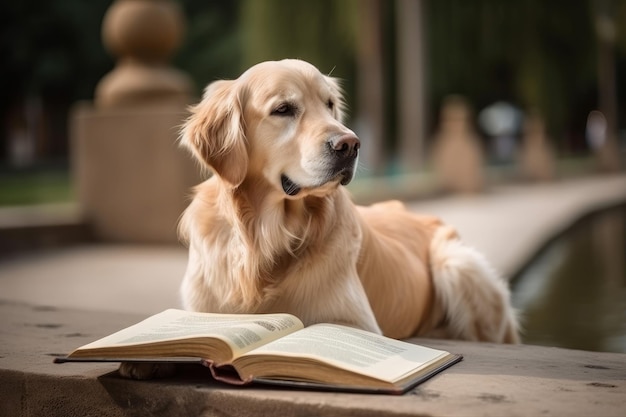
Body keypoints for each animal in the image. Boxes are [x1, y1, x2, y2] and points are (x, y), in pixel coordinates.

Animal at [119, 59, 520, 380]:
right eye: (284, 109)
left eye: (330, 105)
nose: (351, 144)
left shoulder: (356, 322)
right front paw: (146, 357)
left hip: (457, 264)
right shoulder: (202, 309)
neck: (265, 236)